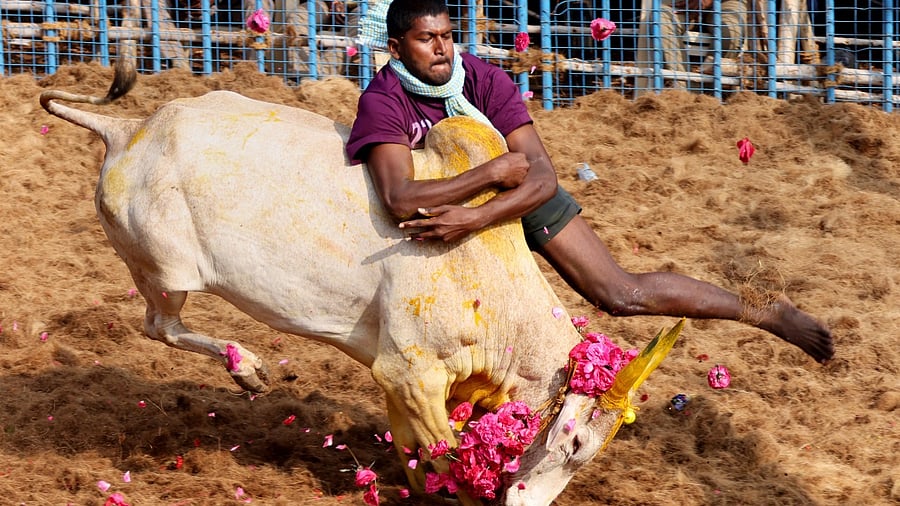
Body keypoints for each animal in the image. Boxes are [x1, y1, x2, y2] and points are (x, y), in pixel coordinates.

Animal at [40, 59, 683, 505]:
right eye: (573, 444)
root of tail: (127, 128)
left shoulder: (400, 383)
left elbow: (418, 457)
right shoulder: (408, 373)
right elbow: (446, 458)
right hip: (165, 271)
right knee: (159, 326)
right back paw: (247, 367)